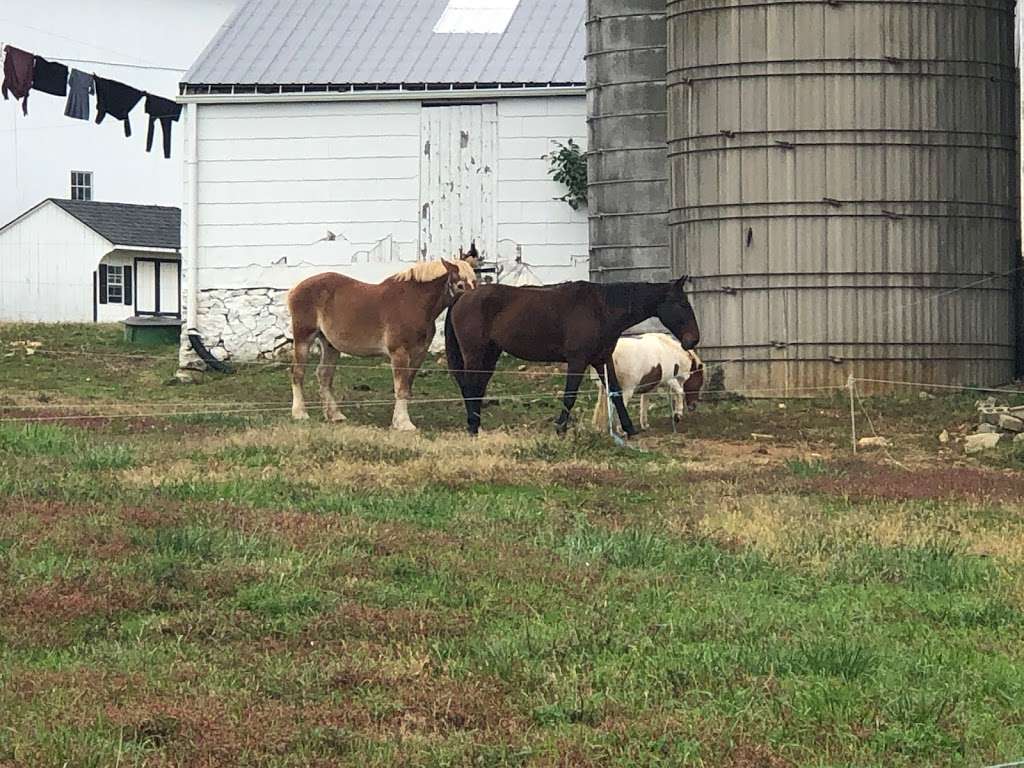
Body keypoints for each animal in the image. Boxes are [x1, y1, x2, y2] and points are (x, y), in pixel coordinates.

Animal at [286, 256, 477, 430]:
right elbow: (400, 388)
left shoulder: (418, 355)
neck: (413, 302)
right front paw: (404, 423)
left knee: (324, 375)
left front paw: (397, 421)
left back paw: (335, 415)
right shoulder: (399, 353)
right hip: (303, 339)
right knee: (298, 373)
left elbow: (406, 387)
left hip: (330, 345)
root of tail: (295, 289)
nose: (471, 304)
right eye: (460, 285)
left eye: (475, 281)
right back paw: (300, 413)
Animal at [444, 280, 700, 438]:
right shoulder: (578, 361)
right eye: (682, 304)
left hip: (490, 354)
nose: (693, 340)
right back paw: (473, 427)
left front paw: (629, 429)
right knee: (471, 387)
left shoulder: (602, 359)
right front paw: (560, 428)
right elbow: (570, 396)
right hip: (475, 354)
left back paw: (476, 425)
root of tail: (464, 295)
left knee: (477, 387)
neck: (601, 308)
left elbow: (615, 392)